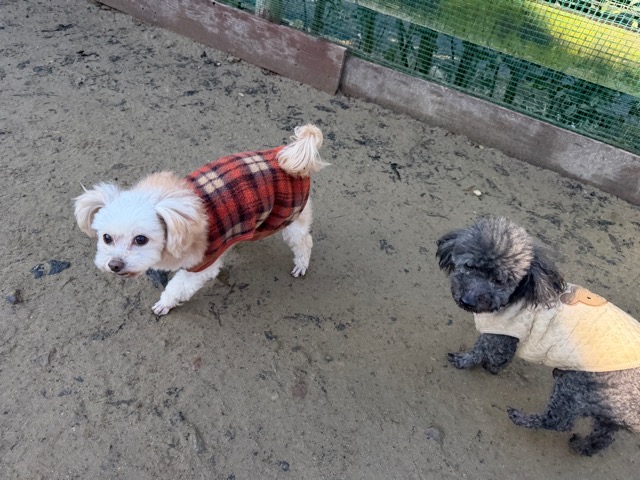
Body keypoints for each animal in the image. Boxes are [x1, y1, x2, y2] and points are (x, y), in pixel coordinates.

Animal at [74, 125, 328, 315]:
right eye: (107, 238)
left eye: (141, 239)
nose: (114, 265)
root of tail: (290, 158)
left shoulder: (200, 266)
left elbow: (177, 286)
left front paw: (164, 304)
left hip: (289, 218)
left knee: (304, 242)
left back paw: (301, 264)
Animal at [436, 217, 640, 456]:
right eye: (469, 266)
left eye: (499, 280)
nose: (467, 301)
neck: (521, 293)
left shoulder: (502, 334)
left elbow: (482, 350)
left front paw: (469, 362)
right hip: (606, 404)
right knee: (605, 433)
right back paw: (584, 447)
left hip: (577, 384)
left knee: (559, 421)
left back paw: (521, 418)